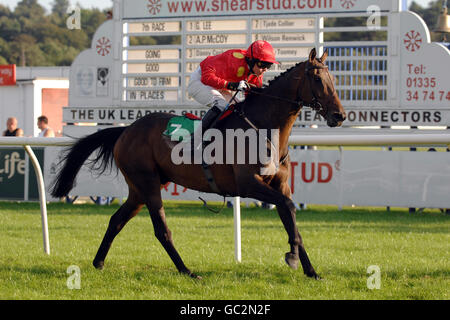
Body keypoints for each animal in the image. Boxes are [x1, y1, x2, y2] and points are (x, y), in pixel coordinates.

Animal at [51, 48, 346, 280]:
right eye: (317, 78)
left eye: (333, 78)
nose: (340, 115)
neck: (263, 128)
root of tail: (125, 130)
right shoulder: (248, 184)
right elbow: (288, 208)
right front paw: (292, 257)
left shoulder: (280, 184)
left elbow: (291, 217)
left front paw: (310, 269)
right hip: (148, 184)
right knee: (161, 230)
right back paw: (187, 271)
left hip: (139, 189)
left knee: (116, 220)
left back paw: (99, 261)